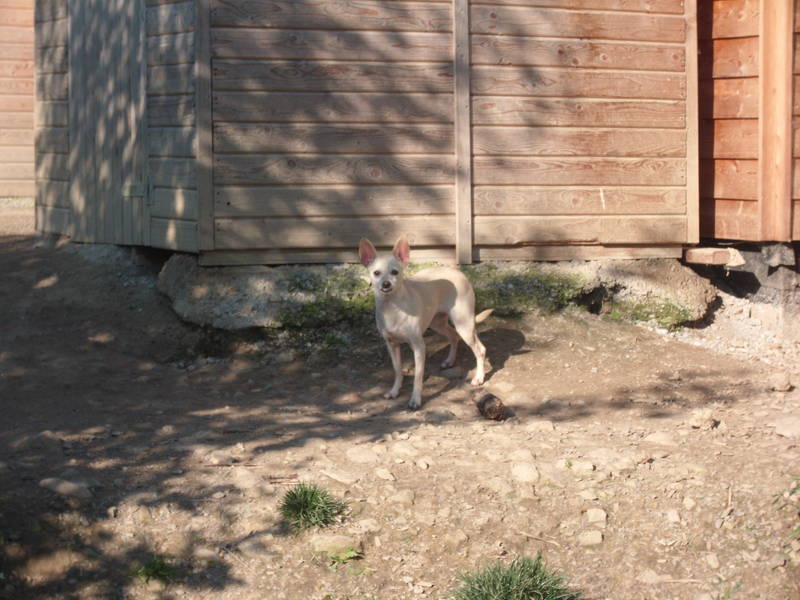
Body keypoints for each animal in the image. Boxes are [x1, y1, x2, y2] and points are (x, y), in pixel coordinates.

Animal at [358, 236, 493, 409]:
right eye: (376, 273)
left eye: (395, 272)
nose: (386, 284)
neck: (392, 306)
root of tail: (459, 273)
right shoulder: (392, 345)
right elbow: (398, 370)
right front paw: (394, 391)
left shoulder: (419, 347)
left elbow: (418, 376)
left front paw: (415, 399)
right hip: (438, 324)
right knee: (453, 336)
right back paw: (450, 361)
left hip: (464, 325)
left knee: (480, 349)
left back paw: (479, 377)